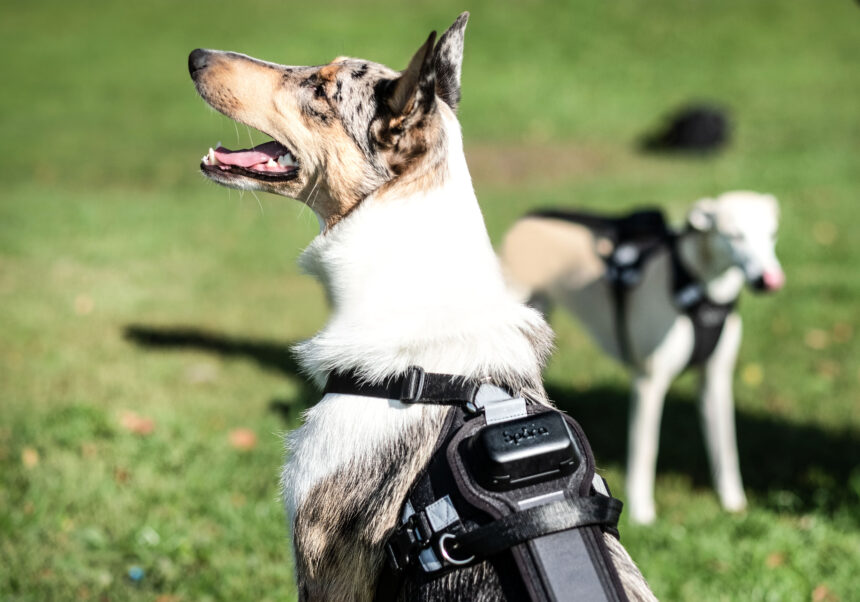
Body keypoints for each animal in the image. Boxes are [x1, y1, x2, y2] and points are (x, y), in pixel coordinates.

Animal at [498, 193, 788, 524]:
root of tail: (526, 220)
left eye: (772, 234)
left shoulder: (715, 380)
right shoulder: (649, 383)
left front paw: (733, 503)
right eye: (734, 236)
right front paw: (643, 513)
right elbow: (645, 449)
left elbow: (725, 447)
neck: (693, 284)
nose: (767, 280)